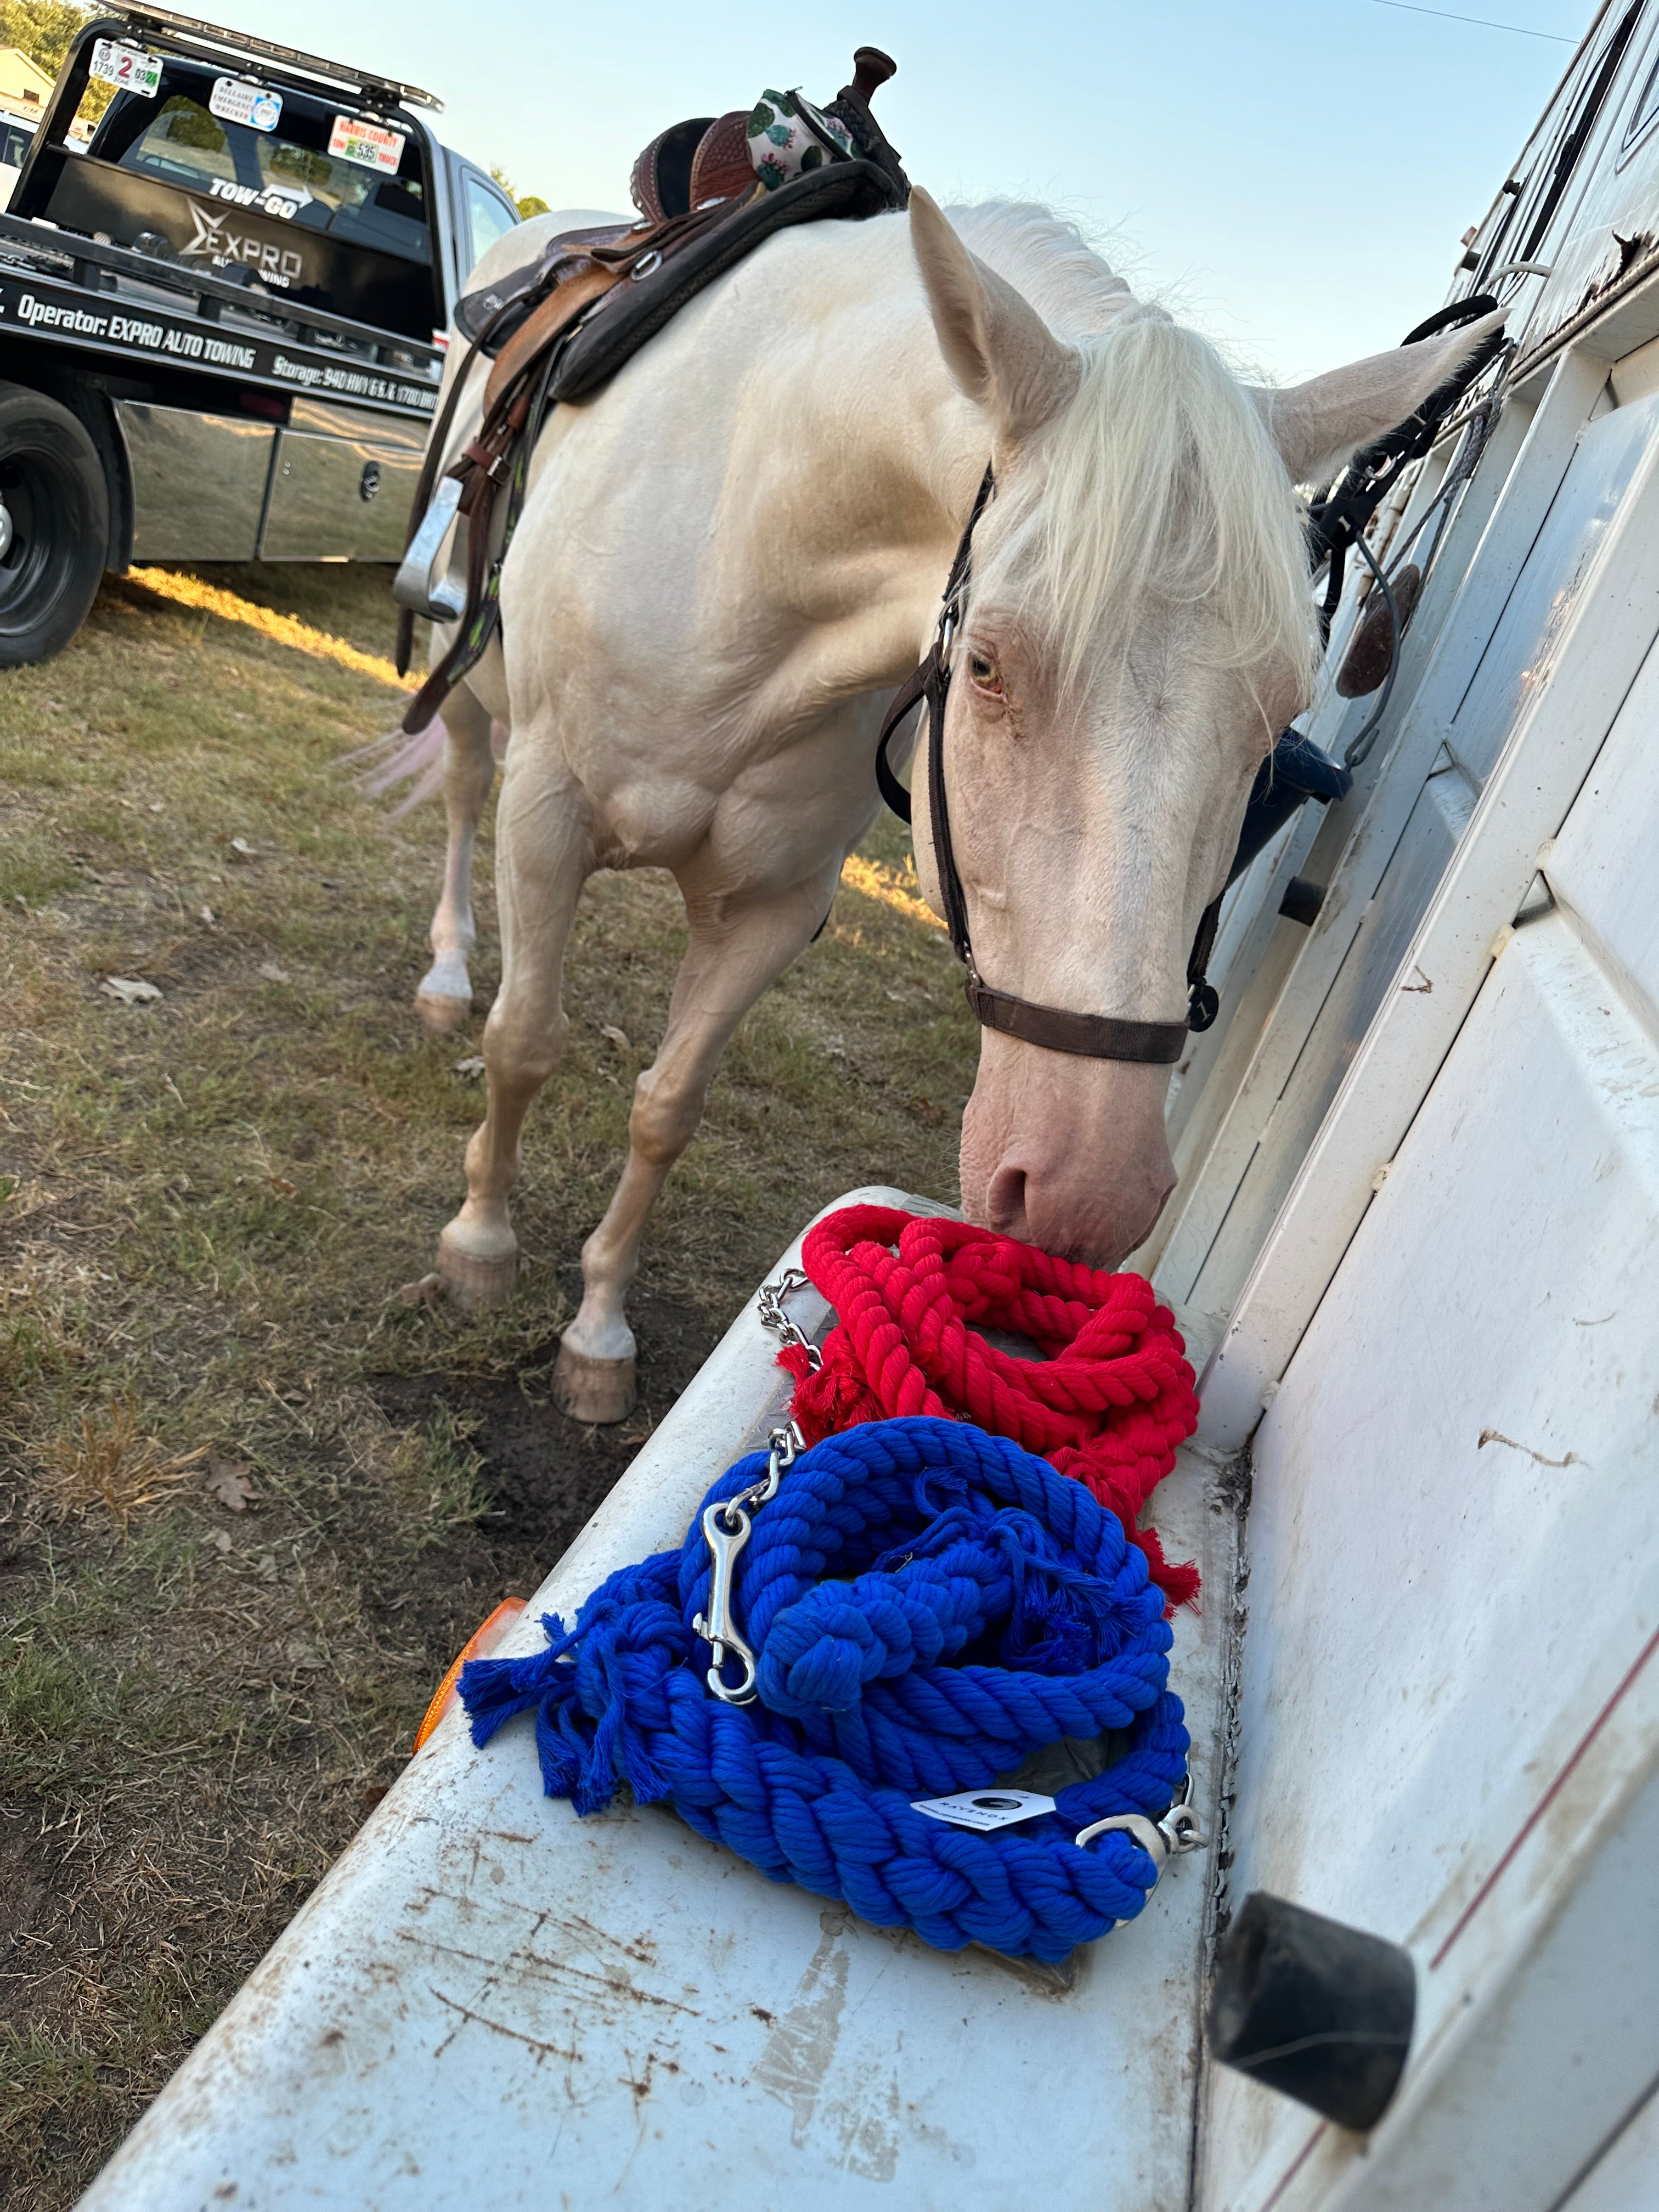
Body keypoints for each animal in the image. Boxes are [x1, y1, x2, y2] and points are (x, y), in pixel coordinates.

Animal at [392, 190, 1502, 1425]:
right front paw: (481, 1248)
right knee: (462, 796)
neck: (741, 540)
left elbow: (668, 1105)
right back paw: (447, 974)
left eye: (1278, 715)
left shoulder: (770, 906)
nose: (1089, 1193)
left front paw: (598, 1330)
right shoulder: (548, 821)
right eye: (983, 667)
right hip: (468, 689)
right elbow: (525, 1042)